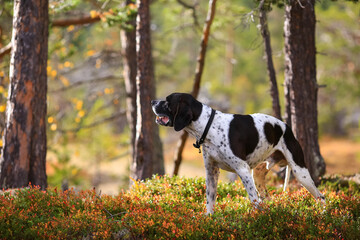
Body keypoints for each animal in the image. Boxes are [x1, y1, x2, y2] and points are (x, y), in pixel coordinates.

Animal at [150, 92, 324, 214]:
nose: (152, 101)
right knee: (266, 199)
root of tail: (287, 127)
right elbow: (210, 201)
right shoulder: (212, 172)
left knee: (320, 197)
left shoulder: (243, 170)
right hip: (258, 175)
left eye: (167, 101)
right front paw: (208, 220)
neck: (209, 125)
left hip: (300, 172)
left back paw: (322, 215)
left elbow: (253, 201)